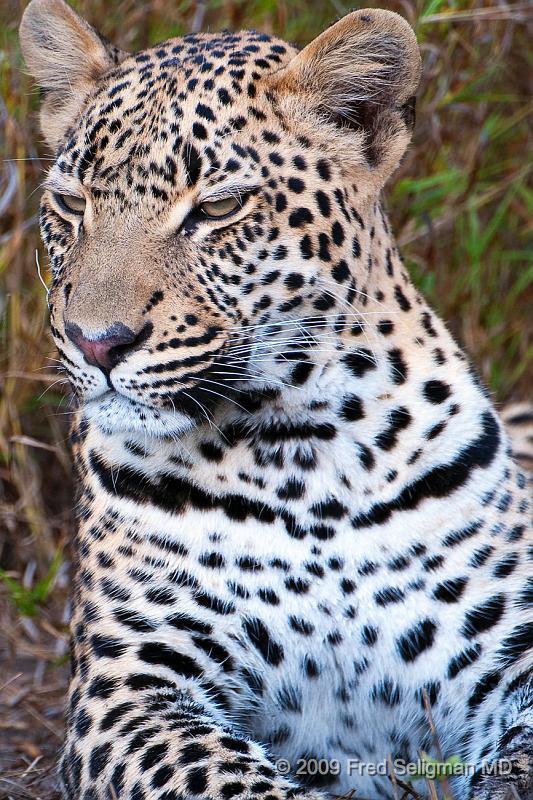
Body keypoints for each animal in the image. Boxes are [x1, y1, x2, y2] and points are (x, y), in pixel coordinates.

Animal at [18, 1, 528, 800]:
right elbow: (231, 779)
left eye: (217, 208)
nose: (96, 343)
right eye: (71, 205)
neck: (303, 447)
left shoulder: (510, 659)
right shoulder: (130, 686)